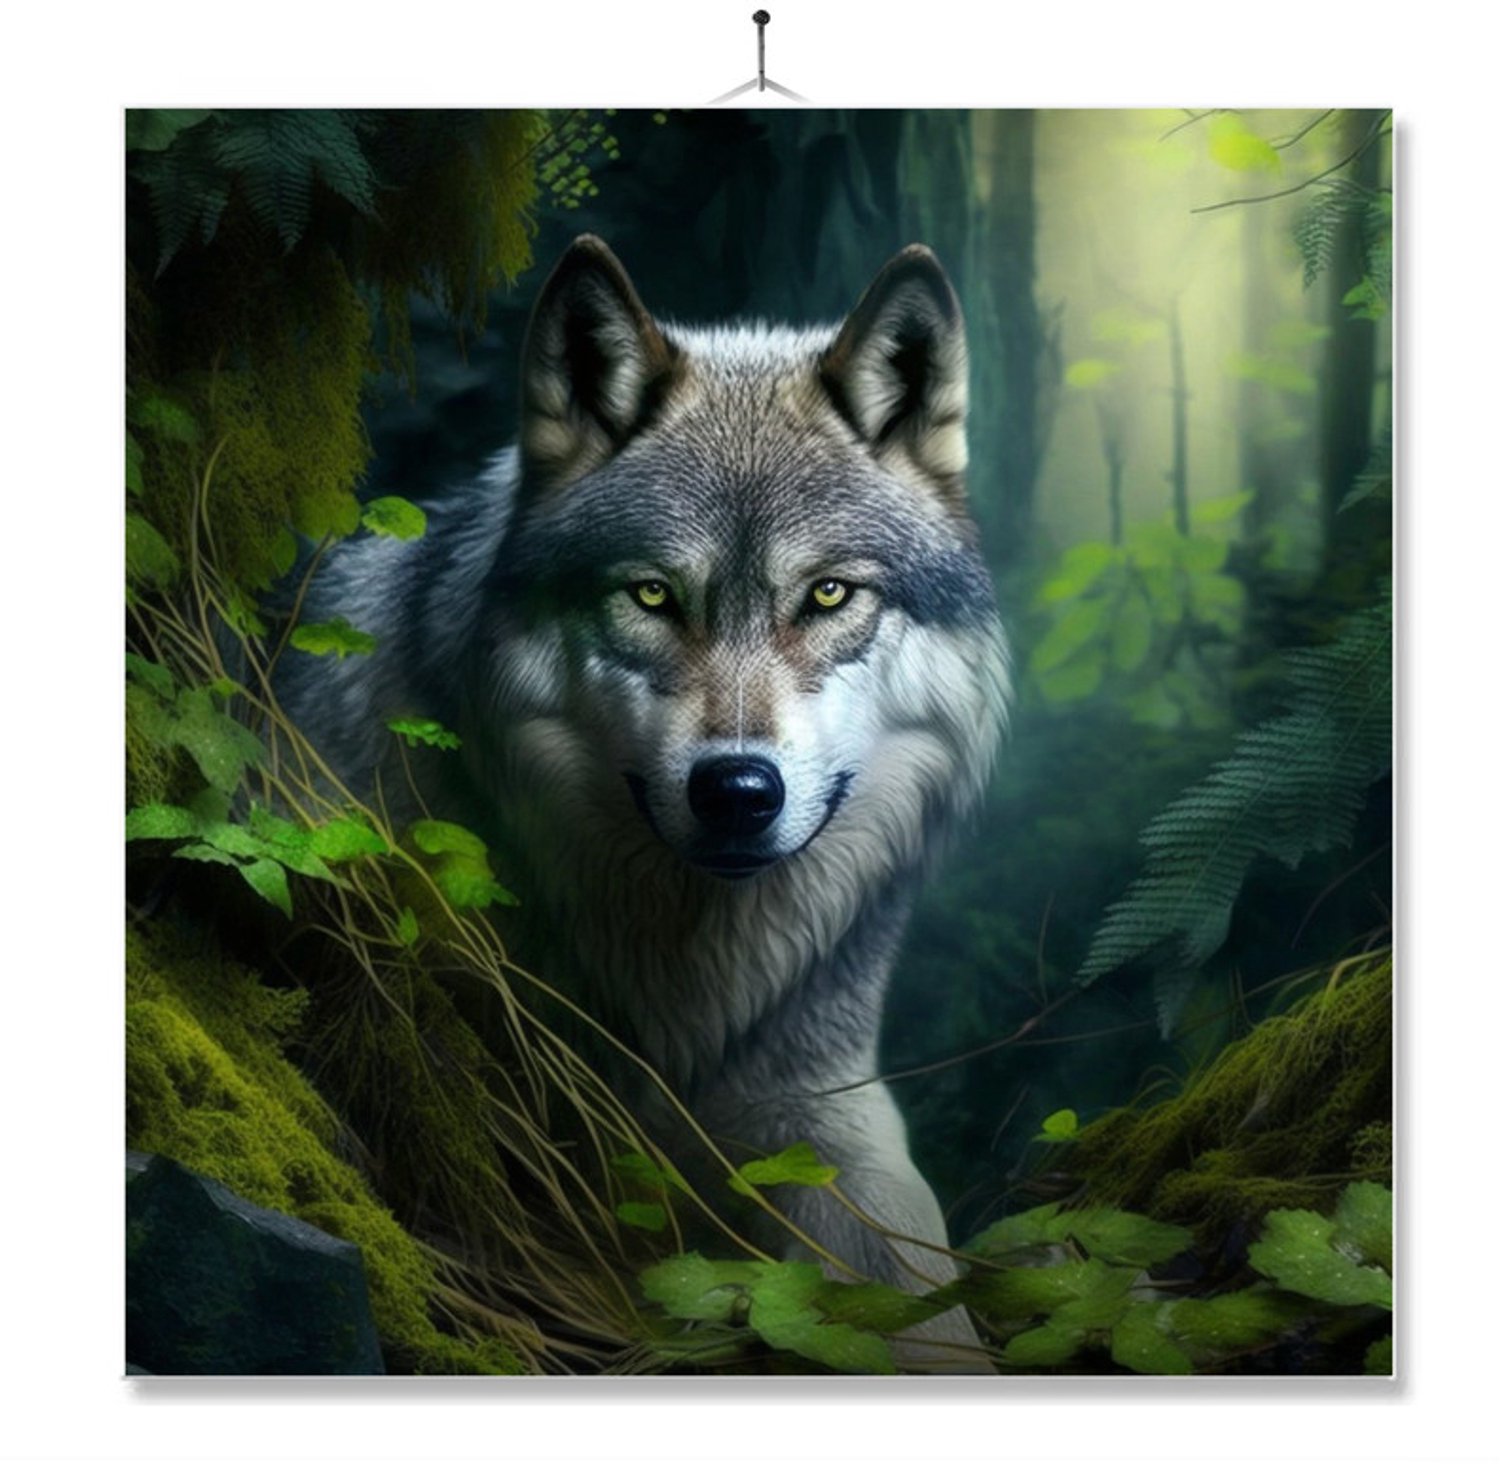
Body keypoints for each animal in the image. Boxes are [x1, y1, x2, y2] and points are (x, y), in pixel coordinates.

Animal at [278, 236, 1011, 1360]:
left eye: (829, 595)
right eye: (653, 595)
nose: (738, 790)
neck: (683, 999)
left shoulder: (831, 1120)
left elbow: (925, 1296)